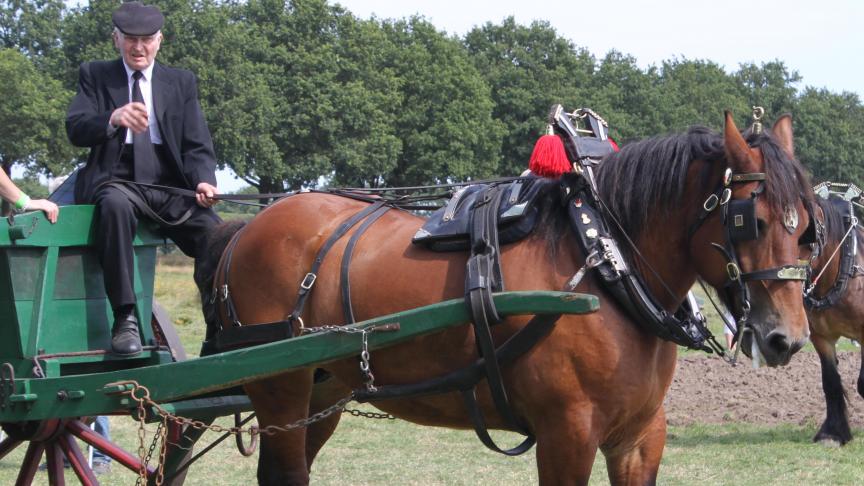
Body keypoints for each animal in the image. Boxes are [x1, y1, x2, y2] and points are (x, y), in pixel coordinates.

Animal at [203, 113, 815, 485]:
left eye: (808, 227)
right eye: (751, 220)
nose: (787, 338)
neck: (605, 261)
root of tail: (247, 227)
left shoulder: (639, 438)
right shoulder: (567, 435)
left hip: (324, 389)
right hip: (280, 391)